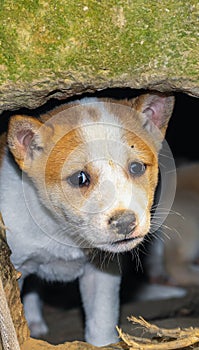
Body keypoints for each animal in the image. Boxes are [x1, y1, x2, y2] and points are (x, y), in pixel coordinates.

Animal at [0, 91, 174, 346]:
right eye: (80, 178)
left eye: (136, 168)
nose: (125, 223)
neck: (62, 231)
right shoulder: (16, 269)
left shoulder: (101, 273)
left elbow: (101, 322)